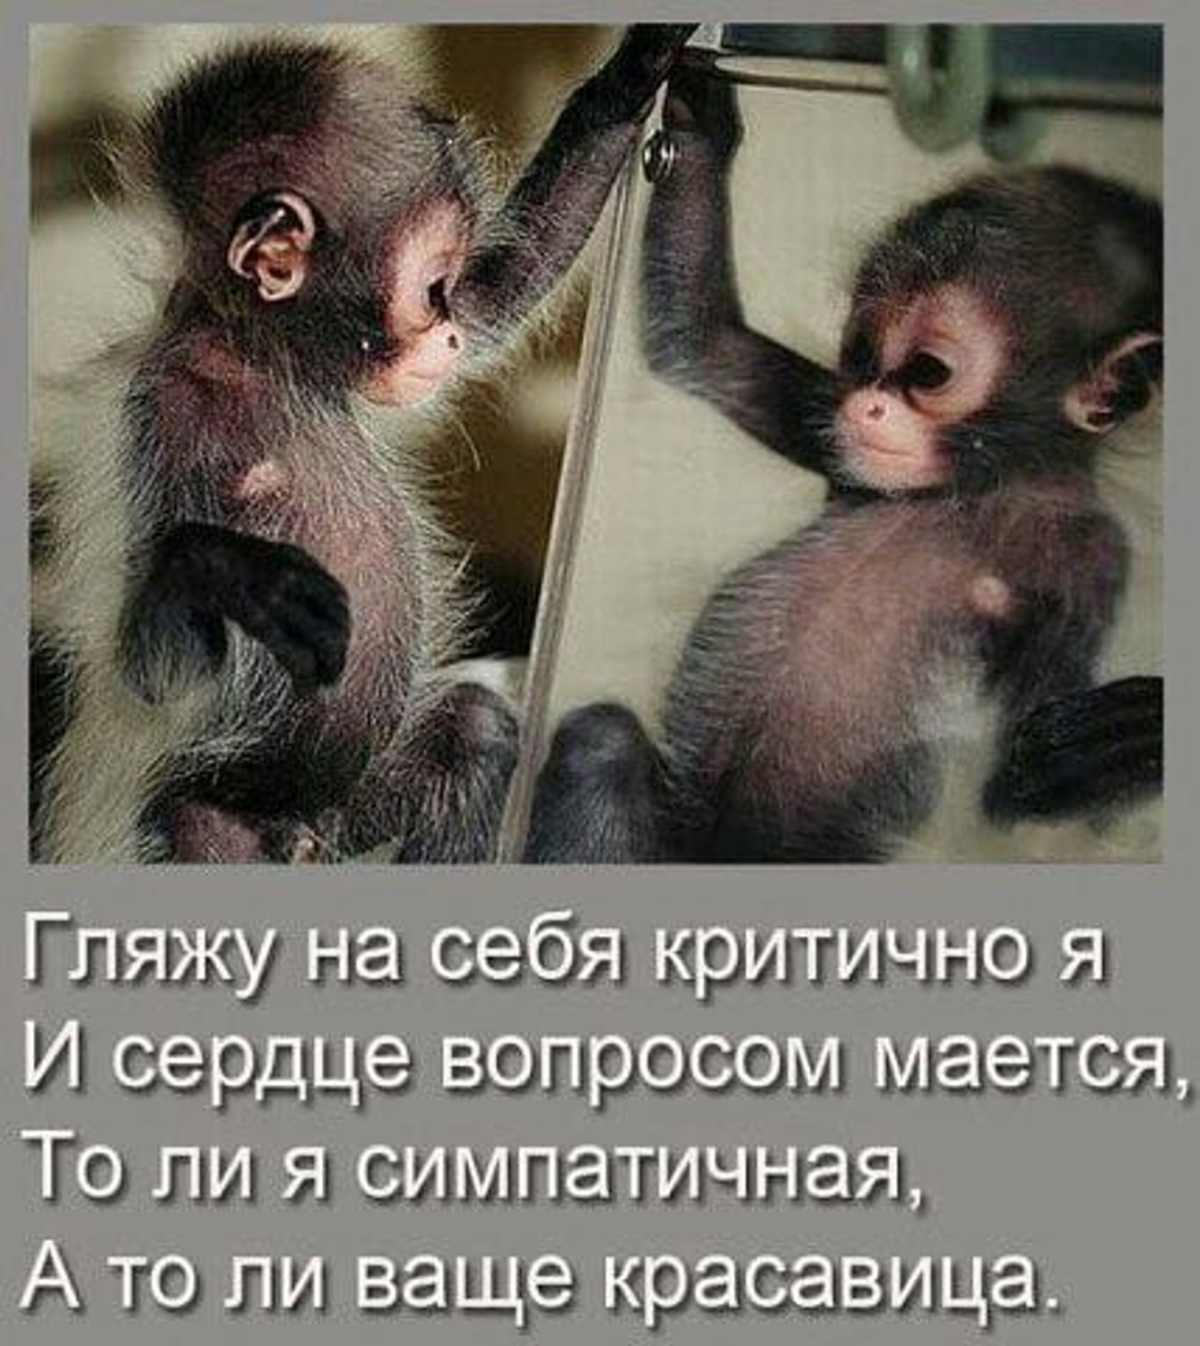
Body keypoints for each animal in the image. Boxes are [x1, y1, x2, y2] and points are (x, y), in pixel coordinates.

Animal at [30, 26, 696, 863]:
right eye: (431, 290)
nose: (447, 336)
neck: (261, 365)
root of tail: (301, 829)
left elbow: (503, 290)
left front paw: (634, 70)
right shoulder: (166, 416)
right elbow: (144, 673)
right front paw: (215, 570)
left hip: (353, 811)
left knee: (472, 728)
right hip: (203, 820)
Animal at [526, 64, 1163, 864]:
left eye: (927, 372)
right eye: (861, 351)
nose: (865, 407)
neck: (968, 492)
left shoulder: (1091, 557)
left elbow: (1013, 797)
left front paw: (1131, 737)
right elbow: (703, 343)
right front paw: (689, 112)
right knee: (603, 742)